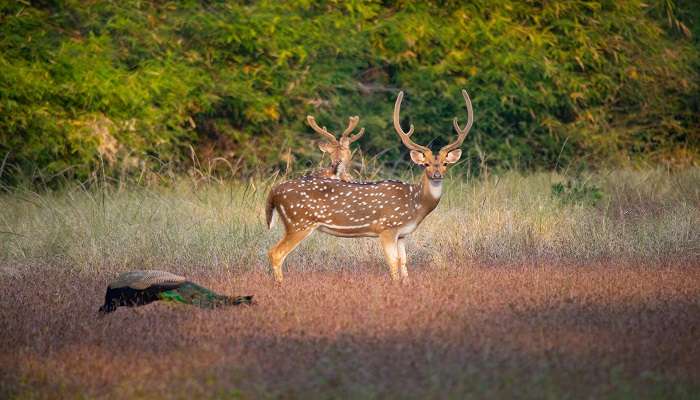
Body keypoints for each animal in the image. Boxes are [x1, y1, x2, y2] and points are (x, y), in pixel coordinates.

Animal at [266, 90, 474, 284]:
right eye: (426, 164)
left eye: (445, 164)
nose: (437, 175)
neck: (415, 204)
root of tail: (273, 192)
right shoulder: (387, 227)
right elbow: (393, 263)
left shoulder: (402, 234)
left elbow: (404, 262)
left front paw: (406, 285)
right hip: (299, 222)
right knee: (275, 253)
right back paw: (280, 285)